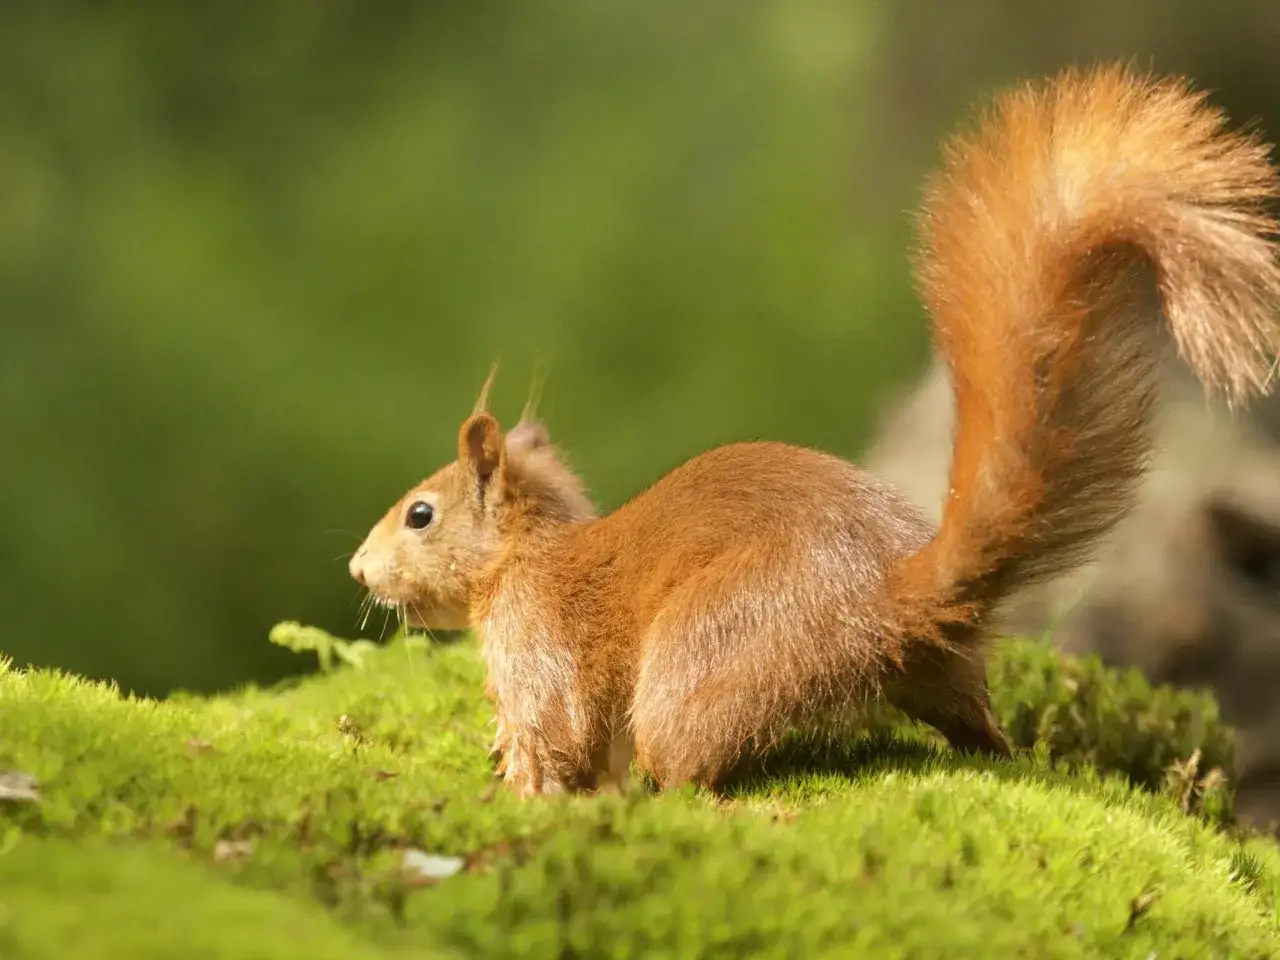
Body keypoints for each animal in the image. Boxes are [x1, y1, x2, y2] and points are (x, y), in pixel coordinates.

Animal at [349, 63, 1280, 798]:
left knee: (689, 761)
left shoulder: (539, 642)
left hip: (708, 655)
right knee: (978, 726)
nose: (357, 569)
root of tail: (886, 597)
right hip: (937, 673)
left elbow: (554, 732)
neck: (527, 556)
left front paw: (518, 789)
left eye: (420, 514)